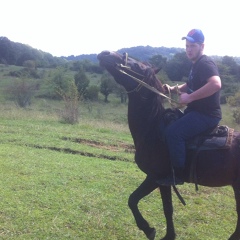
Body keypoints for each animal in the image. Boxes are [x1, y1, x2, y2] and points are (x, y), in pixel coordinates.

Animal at [96, 49, 240, 239]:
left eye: (139, 66)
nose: (105, 53)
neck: (153, 128)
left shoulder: (158, 178)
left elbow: (157, 206)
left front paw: (153, 230)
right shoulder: (157, 179)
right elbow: (137, 201)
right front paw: (153, 230)